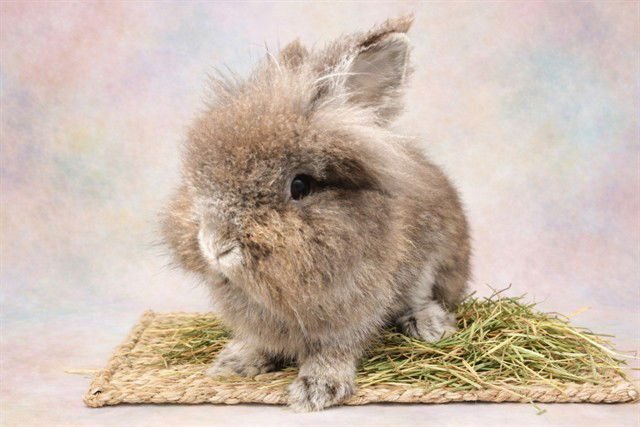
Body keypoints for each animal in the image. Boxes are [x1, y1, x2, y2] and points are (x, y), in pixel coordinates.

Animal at [161, 15, 470, 411]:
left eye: (300, 186)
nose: (214, 245)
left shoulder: (351, 314)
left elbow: (334, 352)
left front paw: (316, 390)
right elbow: (259, 342)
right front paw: (234, 364)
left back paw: (430, 326)